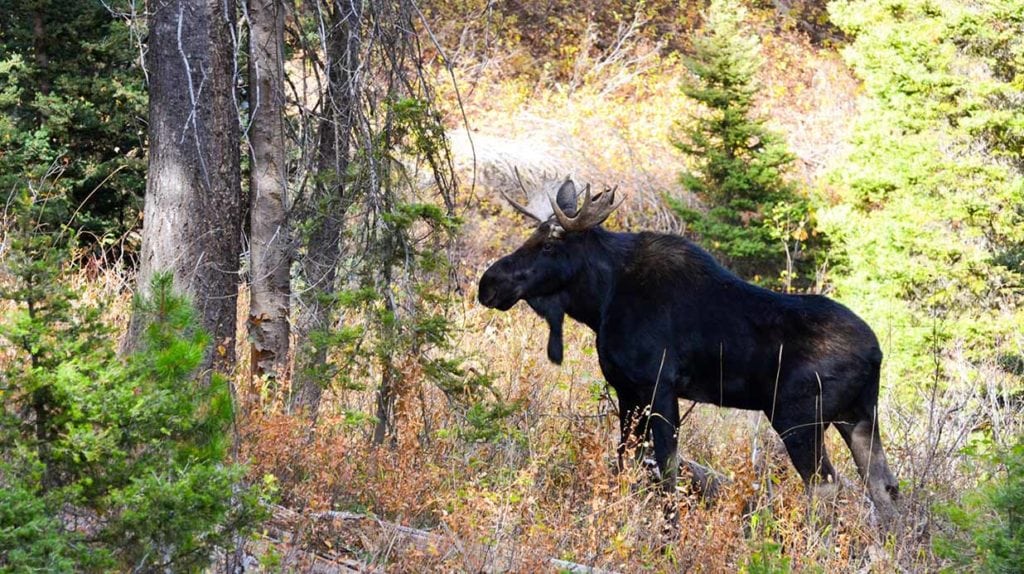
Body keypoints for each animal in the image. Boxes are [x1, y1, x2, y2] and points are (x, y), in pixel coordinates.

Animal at [475, 175, 901, 519]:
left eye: (549, 247)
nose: (488, 283)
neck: (600, 301)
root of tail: (877, 354)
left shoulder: (658, 386)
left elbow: (666, 470)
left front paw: (667, 531)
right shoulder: (627, 390)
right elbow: (624, 459)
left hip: (797, 416)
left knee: (827, 485)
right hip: (858, 415)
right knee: (884, 486)